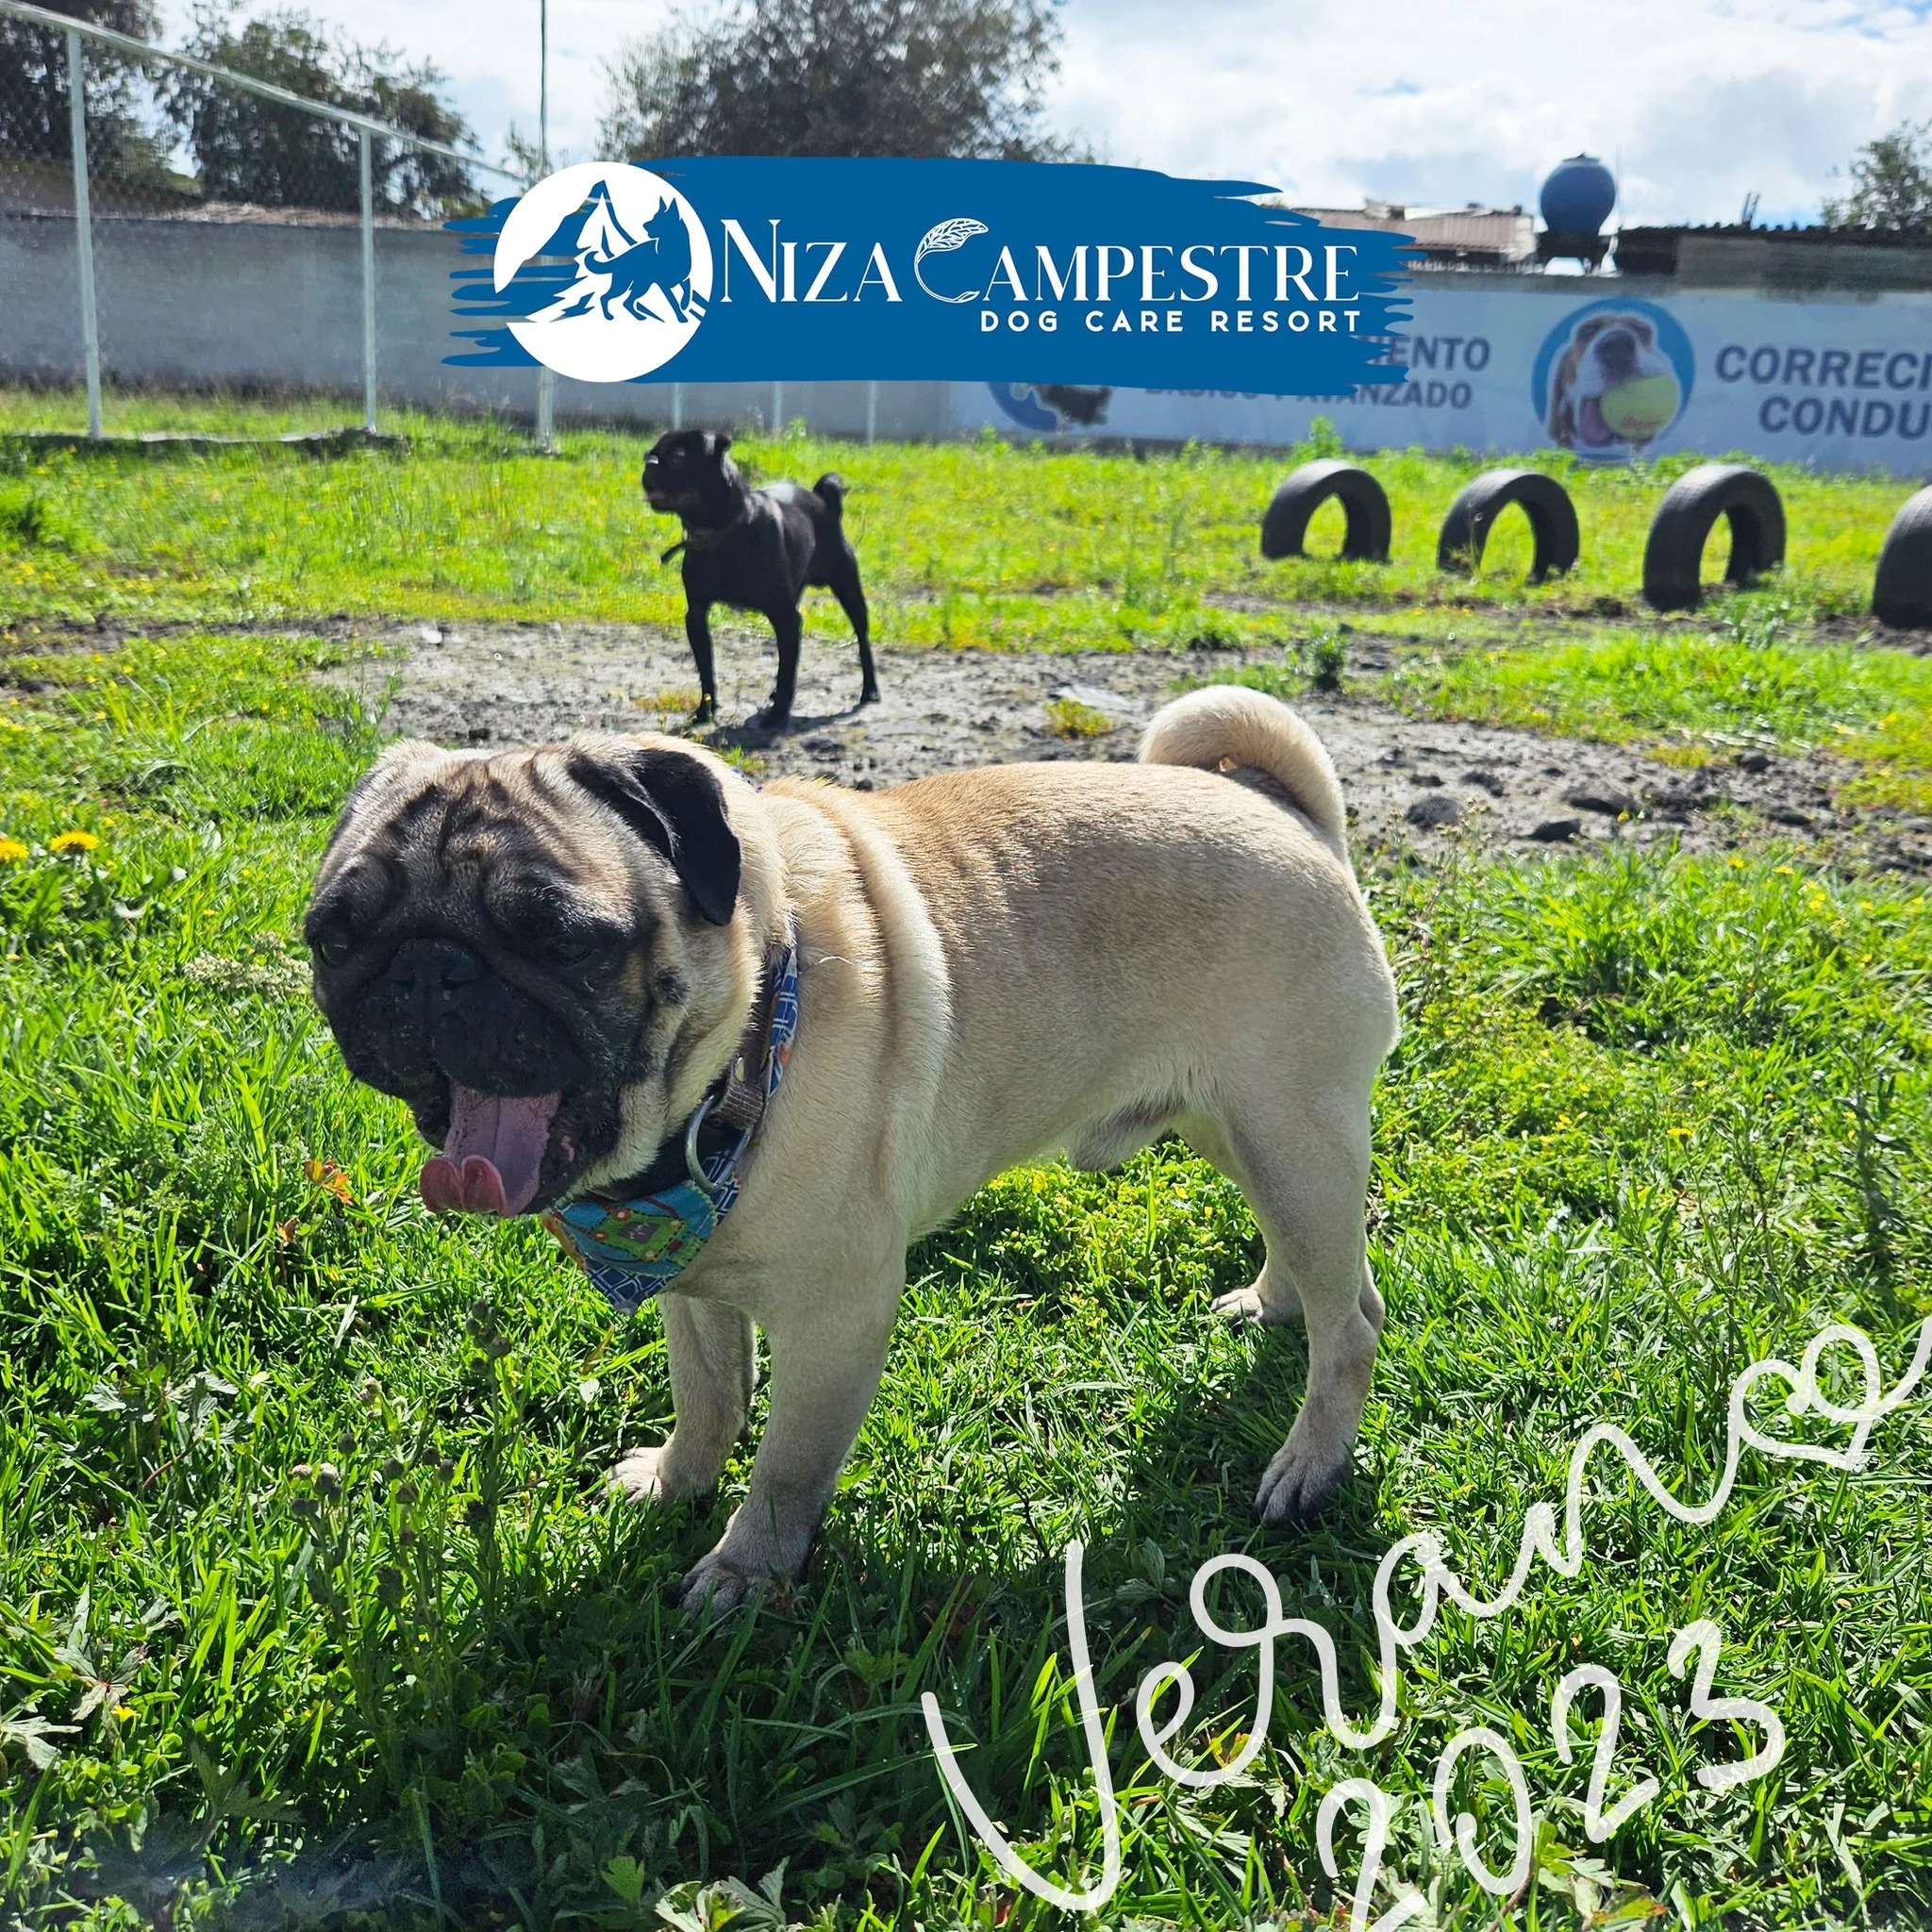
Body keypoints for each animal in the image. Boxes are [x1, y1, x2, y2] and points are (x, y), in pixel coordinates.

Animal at [301, 688, 1398, 1607]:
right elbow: (709, 1400)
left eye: (563, 939)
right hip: (1243, 1132)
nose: (426, 972)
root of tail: (1283, 809)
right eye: (334, 936)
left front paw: (745, 1571)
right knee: (1324, 1268)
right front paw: (674, 1483)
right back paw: (1274, 1300)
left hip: (1291, 1133)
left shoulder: (836, 1321)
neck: (745, 1047)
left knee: (1351, 1327)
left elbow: (788, 1465)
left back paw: (1308, 1464)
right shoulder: (696, 1293)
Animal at [645, 430, 880, 730]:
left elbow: (787, 671)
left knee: (862, 639)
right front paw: (705, 711)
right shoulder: (696, 615)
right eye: (650, 453)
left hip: (848, 588)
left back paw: (869, 689)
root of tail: (823, 501)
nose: (650, 462)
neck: (723, 532)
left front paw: (779, 714)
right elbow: (706, 669)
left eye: (678, 458)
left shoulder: (786, 617)